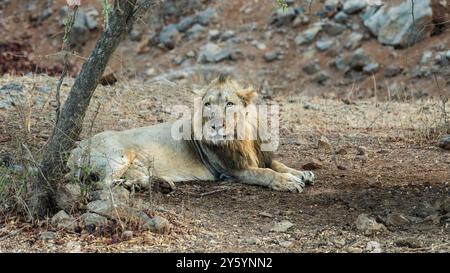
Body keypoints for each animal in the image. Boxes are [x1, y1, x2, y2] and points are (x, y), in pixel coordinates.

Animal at [67, 75, 314, 192]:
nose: (215, 126)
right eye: (207, 104)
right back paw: (130, 186)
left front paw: (302, 174)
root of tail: (74, 150)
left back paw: (159, 184)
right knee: (103, 184)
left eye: (229, 104)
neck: (240, 137)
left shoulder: (259, 156)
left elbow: (278, 165)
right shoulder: (231, 170)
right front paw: (288, 182)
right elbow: (266, 173)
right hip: (118, 156)